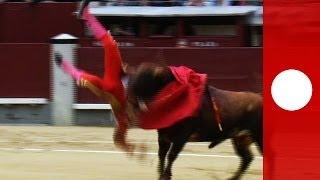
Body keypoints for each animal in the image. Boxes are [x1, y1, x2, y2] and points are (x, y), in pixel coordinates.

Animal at [127, 64, 262, 179]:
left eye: (145, 79)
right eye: (135, 78)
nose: (130, 99)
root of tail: (260, 97)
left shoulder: (182, 136)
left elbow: (171, 155)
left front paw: (166, 176)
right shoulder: (163, 135)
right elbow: (162, 154)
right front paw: (161, 175)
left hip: (258, 136)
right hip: (240, 138)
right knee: (247, 158)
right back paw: (232, 178)